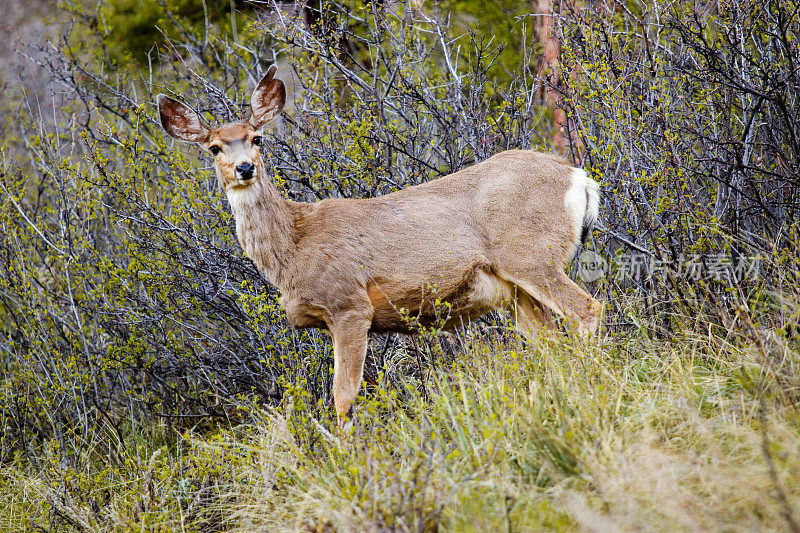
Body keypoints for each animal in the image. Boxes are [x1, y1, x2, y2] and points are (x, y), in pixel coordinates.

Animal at [159, 64, 604, 426]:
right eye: (214, 147)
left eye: (257, 138)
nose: (244, 168)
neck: (293, 247)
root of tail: (579, 177)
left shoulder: (349, 304)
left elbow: (342, 396)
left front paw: (345, 456)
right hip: (512, 289)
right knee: (551, 341)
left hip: (530, 255)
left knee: (587, 308)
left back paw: (591, 380)